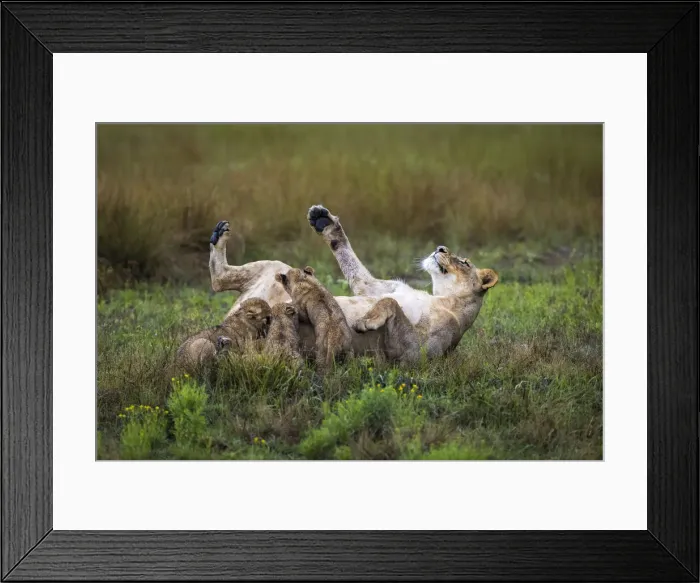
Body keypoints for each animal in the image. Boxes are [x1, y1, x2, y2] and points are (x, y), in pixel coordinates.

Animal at [207, 207, 498, 363]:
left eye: (464, 261)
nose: (440, 247)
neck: (439, 296)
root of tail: (225, 321)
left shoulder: (416, 353)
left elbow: (390, 304)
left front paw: (365, 322)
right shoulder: (375, 286)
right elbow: (357, 270)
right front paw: (325, 222)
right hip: (274, 268)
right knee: (219, 279)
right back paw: (219, 233)